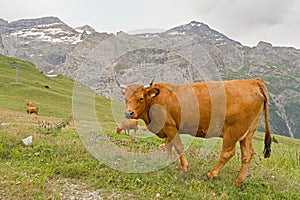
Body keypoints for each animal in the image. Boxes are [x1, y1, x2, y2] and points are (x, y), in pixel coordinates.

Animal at [118, 78, 274, 186]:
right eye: (125, 99)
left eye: (140, 98)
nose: (128, 113)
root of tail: (252, 81)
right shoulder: (167, 129)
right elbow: (168, 145)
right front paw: (166, 161)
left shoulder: (170, 126)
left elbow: (178, 146)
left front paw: (184, 168)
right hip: (247, 134)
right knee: (247, 155)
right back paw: (239, 182)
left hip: (233, 131)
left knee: (227, 153)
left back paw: (210, 175)